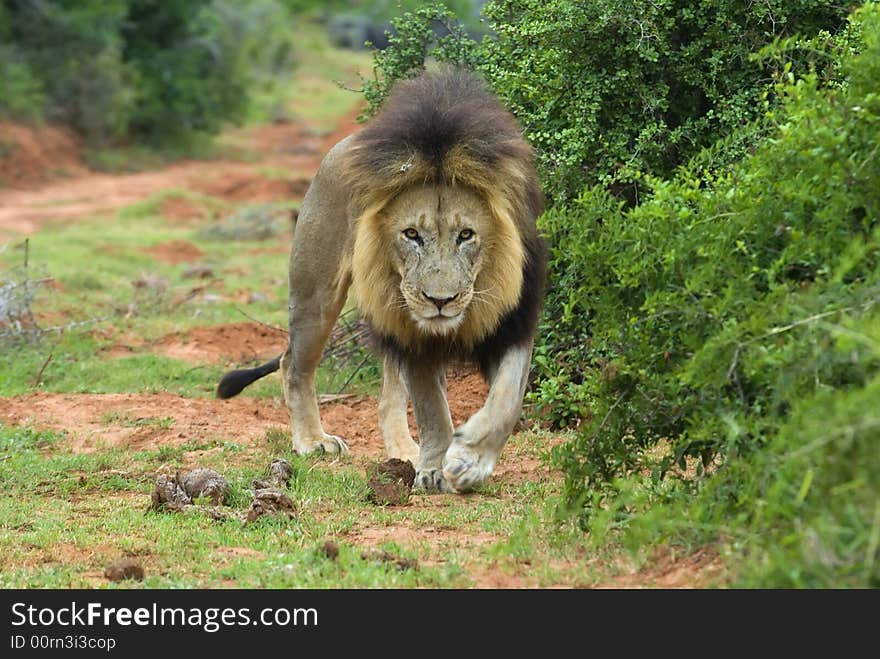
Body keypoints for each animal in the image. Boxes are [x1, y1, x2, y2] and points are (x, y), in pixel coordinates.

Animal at [215, 69, 544, 492]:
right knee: (293, 364)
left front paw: (469, 460)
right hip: (316, 297)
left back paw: (403, 450)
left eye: (466, 234)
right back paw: (313, 441)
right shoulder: (414, 335)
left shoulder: (514, 322)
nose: (440, 301)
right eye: (411, 234)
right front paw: (436, 468)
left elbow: (507, 400)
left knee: (389, 397)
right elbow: (432, 408)